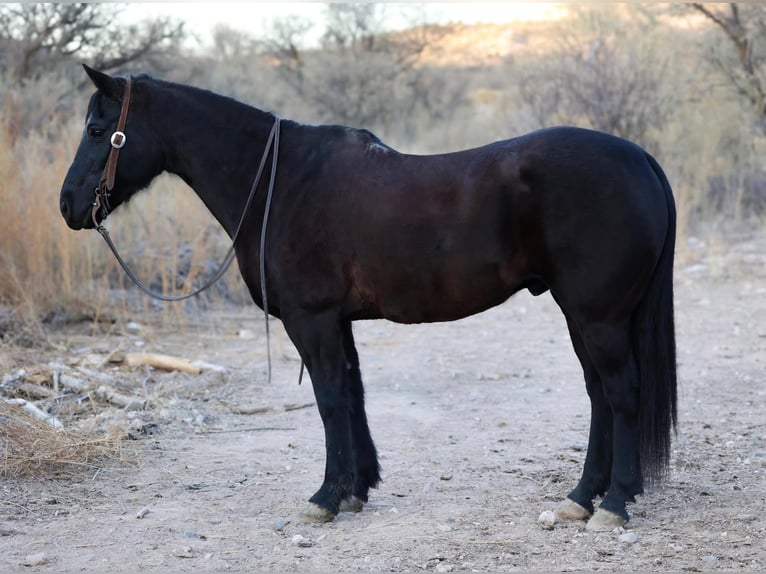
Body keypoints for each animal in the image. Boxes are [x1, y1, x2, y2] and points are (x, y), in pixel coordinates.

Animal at [59, 65, 677, 531]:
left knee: (621, 393)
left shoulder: (311, 320)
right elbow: (352, 395)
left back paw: (613, 504)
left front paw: (325, 498)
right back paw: (582, 497)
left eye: (97, 129)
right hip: (583, 316)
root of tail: (641, 158)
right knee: (599, 395)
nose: (68, 206)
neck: (284, 181)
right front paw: (357, 488)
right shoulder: (338, 322)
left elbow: (330, 401)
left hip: (598, 316)